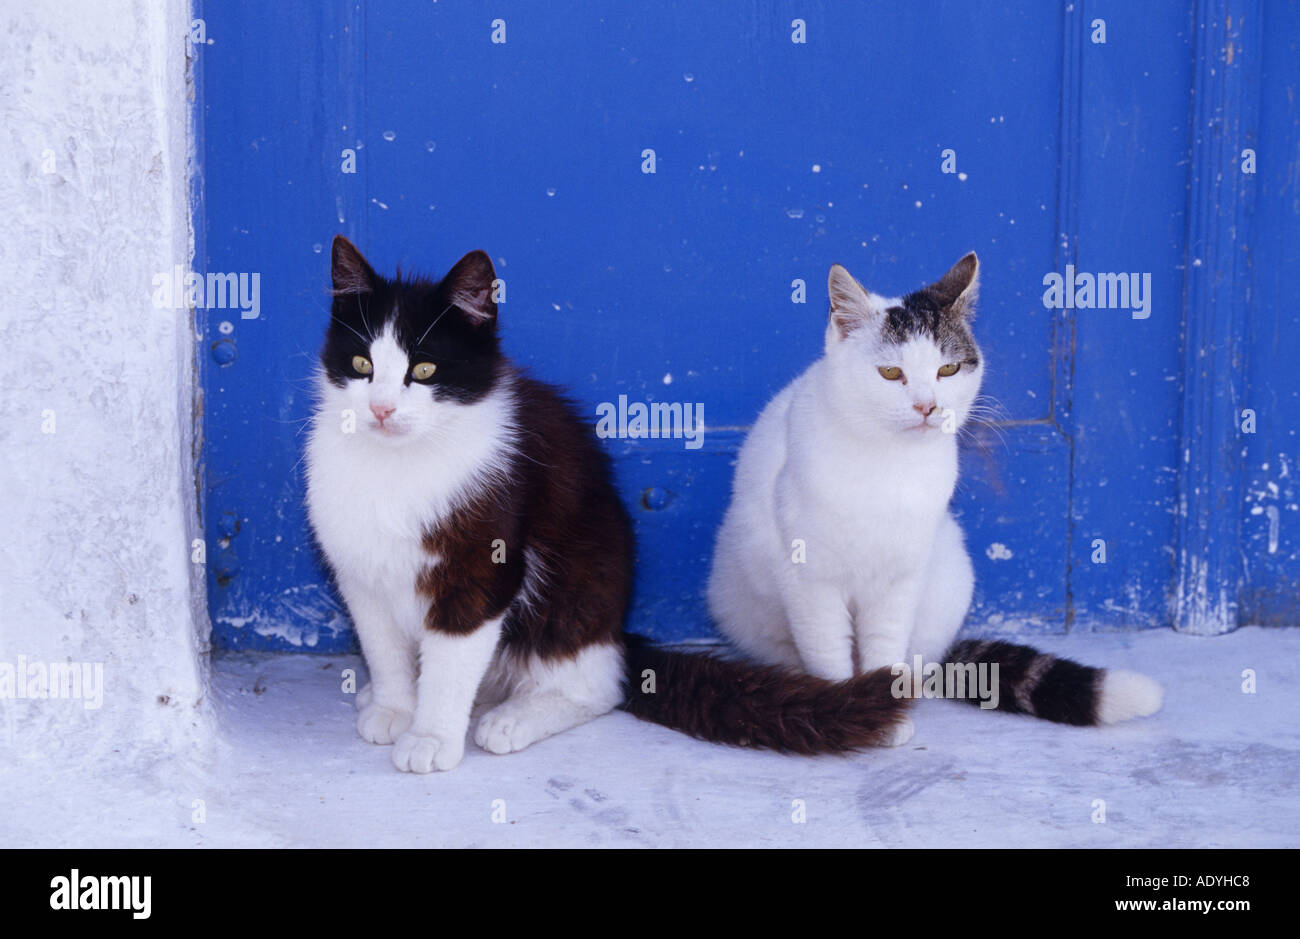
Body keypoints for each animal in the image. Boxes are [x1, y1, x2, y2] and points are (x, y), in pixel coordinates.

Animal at [308, 235, 909, 769]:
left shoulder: (484, 561)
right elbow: (381, 646)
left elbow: (453, 658)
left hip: (579, 582)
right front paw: (394, 706)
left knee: (600, 682)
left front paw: (431, 736)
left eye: (425, 370)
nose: (381, 409)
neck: (399, 465)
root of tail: (617, 629)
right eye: (361, 365)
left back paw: (516, 717)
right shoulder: (358, 568)